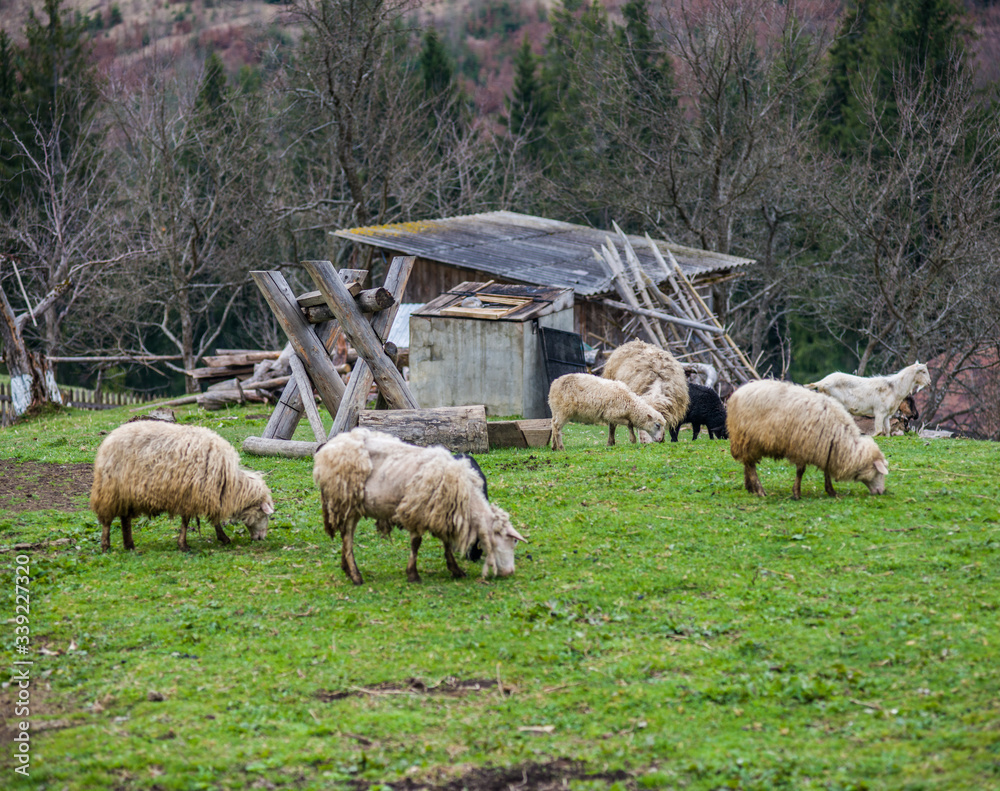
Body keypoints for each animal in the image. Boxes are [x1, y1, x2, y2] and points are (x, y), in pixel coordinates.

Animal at [92, 420, 276, 552]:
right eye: (264, 514)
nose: (262, 538)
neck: (231, 484)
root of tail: (109, 439)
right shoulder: (192, 495)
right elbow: (189, 521)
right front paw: (185, 545)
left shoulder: (205, 495)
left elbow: (212, 519)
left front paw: (222, 538)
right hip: (110, 490)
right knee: (108, 521)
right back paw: (106, 546)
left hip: (125, 493)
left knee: (125, 519)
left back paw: (129, 545)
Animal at [314, 430, 528, 584]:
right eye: (511, 541)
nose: (510, 572)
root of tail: (326, 449)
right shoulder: (417, 510)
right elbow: (416, 543)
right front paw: (413, 575)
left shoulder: (441, 511)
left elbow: (446, 542)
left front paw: (455, 570)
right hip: (345, 500)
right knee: (348, 537)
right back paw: (355, 575)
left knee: (345, 536)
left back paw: (346, 569)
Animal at [724, 380, 888, 498]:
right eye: (879, 472)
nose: (881, 492)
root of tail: (736, 393)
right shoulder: (802, 447)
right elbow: (800, 471)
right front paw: (796, 493)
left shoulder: (826, 448)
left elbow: (826, 471)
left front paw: (831, 491)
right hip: (747, 439)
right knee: (751, 466)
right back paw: (759, 491)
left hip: (746, 442)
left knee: (747, 463)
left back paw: (750, 487)